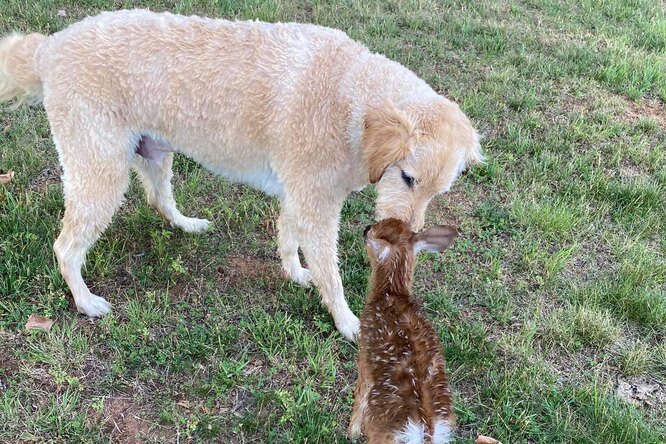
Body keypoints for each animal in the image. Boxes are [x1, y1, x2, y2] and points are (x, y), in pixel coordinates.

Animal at [0, 10, 478, 342]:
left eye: (438, 192)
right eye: (407, 178)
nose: (409, 240)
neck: (353, 99)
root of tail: (50, 47)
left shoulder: (299, 197)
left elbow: (288, 237)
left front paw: (295, 273)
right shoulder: (316, 206)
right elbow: (332, 274)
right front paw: (347, 322)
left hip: (152, 152)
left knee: (158, 200)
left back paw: (187, 224)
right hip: (100, 174)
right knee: (65, 248)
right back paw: (85, 301)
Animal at [348, 219, 456, 444]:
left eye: (376, 231)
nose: (366, 228)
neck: (392, 293)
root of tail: (424, 430)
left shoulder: (364, 355)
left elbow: (359, 395)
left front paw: (351, 433)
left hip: (380, 430)